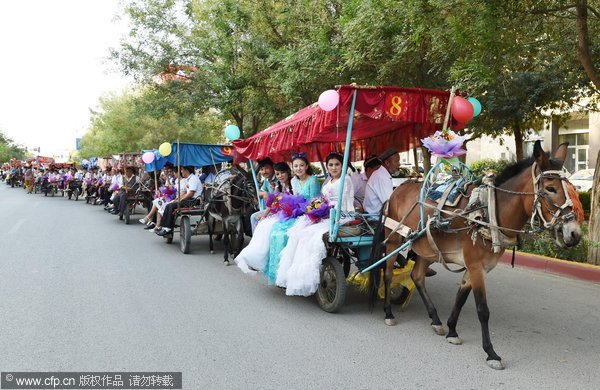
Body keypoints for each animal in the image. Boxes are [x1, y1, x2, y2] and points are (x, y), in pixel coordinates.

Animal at [372, 140, 584, 368]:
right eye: (551, 189)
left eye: (571, 188)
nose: (574, 234)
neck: (488, 212)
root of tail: (396, 190)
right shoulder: (476, 266)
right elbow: (483, 310)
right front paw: (491, 352)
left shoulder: (477, 267)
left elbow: (461, 298)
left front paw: (452, 330)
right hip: (393, 240)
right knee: (388, 274)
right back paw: (388, 312)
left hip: (426, 248)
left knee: (417, 276)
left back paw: (435, 319)